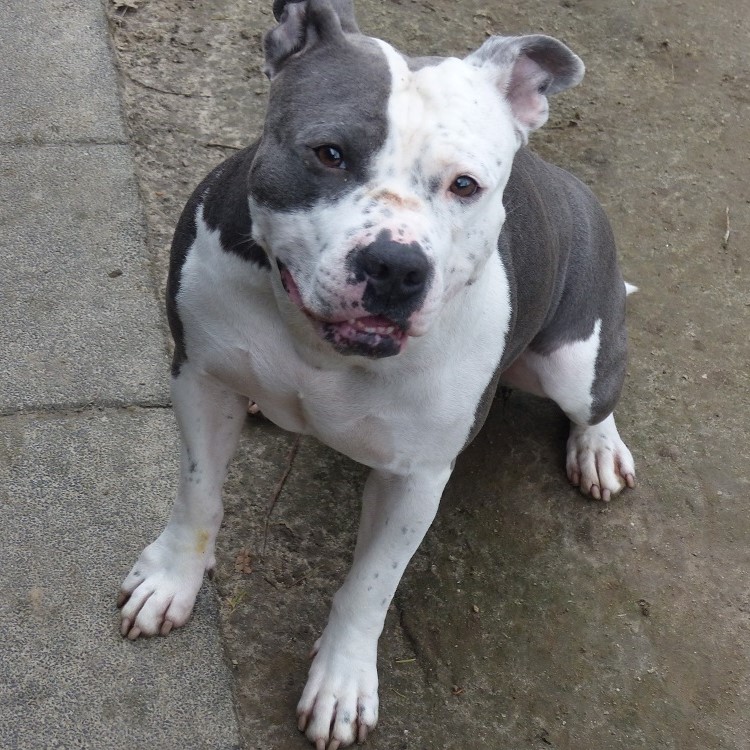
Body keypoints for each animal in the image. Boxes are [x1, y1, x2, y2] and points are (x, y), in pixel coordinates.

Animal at [118, 0, 636, 746]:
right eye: (328, 153)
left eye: (464, 185)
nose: (395, 266)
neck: (320, 346)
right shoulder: (201, 379)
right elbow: (197, 497)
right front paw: (171, 579)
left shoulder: (415, 477)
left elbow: (370, 586)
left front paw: (340, 681)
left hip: (574, 363)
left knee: (593, 398)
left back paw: (597, 449)